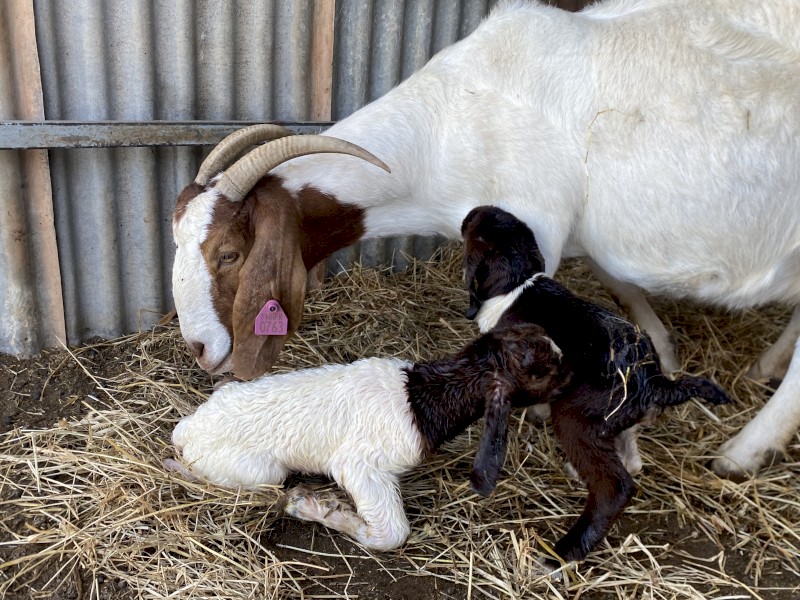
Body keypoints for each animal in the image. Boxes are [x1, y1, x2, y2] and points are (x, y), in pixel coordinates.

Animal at [166, 323, 567, 551]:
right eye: (544, 369)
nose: (570, 385)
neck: (422, 397)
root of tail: (189, 430)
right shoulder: (362, 464)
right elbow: (391, 533)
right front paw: (312, 507)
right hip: (260, 471)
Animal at [171, 0, 800, 479]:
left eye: (228, 253)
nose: (199, 349)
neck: (460, 119)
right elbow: (619, 286)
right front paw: (661, 355)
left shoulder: (535, 233)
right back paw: (764, 367)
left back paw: (740, 453)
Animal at [462, 205, 730, 566]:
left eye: (476, 233)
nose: (474, 211)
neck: (518, 285)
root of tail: (655, 382)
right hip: (615, 421)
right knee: (631, 460)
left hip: (576, 418)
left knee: (615, 487)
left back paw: (560, 554)